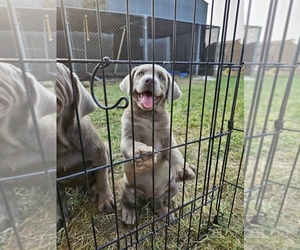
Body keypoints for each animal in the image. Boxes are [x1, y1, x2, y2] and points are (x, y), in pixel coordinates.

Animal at [119, 64, 197, 225]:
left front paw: (184, 169)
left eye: (161, 77)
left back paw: (164, 212)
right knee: (127, 201)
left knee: (157, 201)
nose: (149, 80)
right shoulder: (128, 135)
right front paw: (143, 153)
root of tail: (147, 195)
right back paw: (128, 213)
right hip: (127, 187)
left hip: (173, 186)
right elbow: (131, 144)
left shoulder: (168, 137)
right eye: (140, 73)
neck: (149, 115)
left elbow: (175, 153)